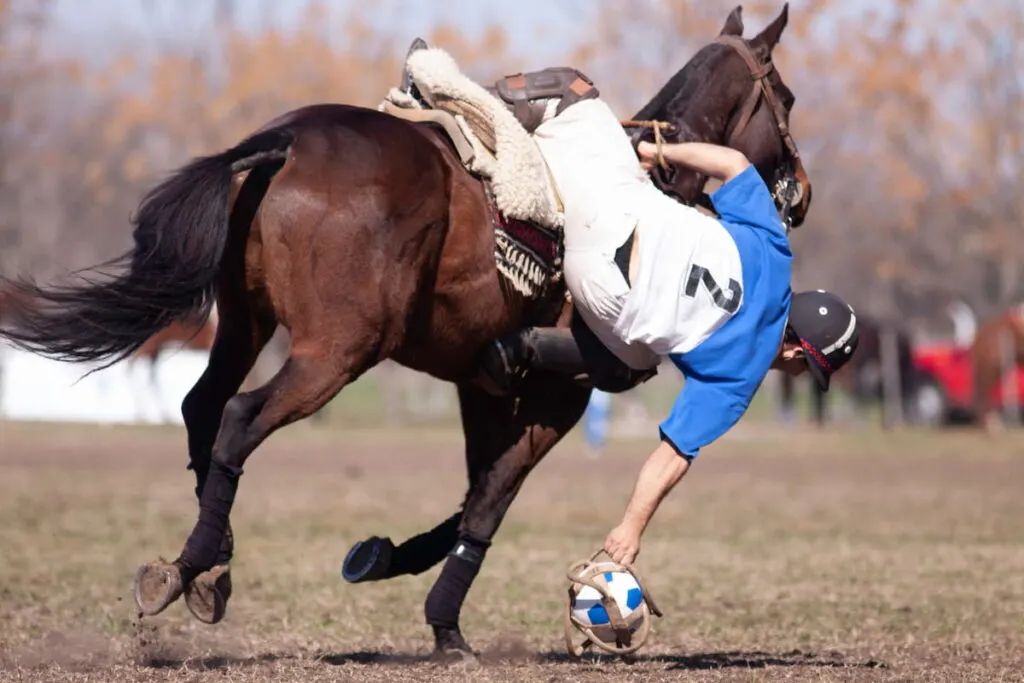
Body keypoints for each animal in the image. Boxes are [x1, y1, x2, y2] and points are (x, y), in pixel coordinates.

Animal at [2, 3, 815, 655]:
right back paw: (196, 563)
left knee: (202, 407)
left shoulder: (482, 386)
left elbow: (476, 491)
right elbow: (490, 500)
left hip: (244, 325)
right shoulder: (561, 395)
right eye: (787, 97)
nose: (800, 192)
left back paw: (209, 569)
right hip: (336, 351)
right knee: (239, 418)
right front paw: (446, 627)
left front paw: (389, 563)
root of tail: (286, 140)